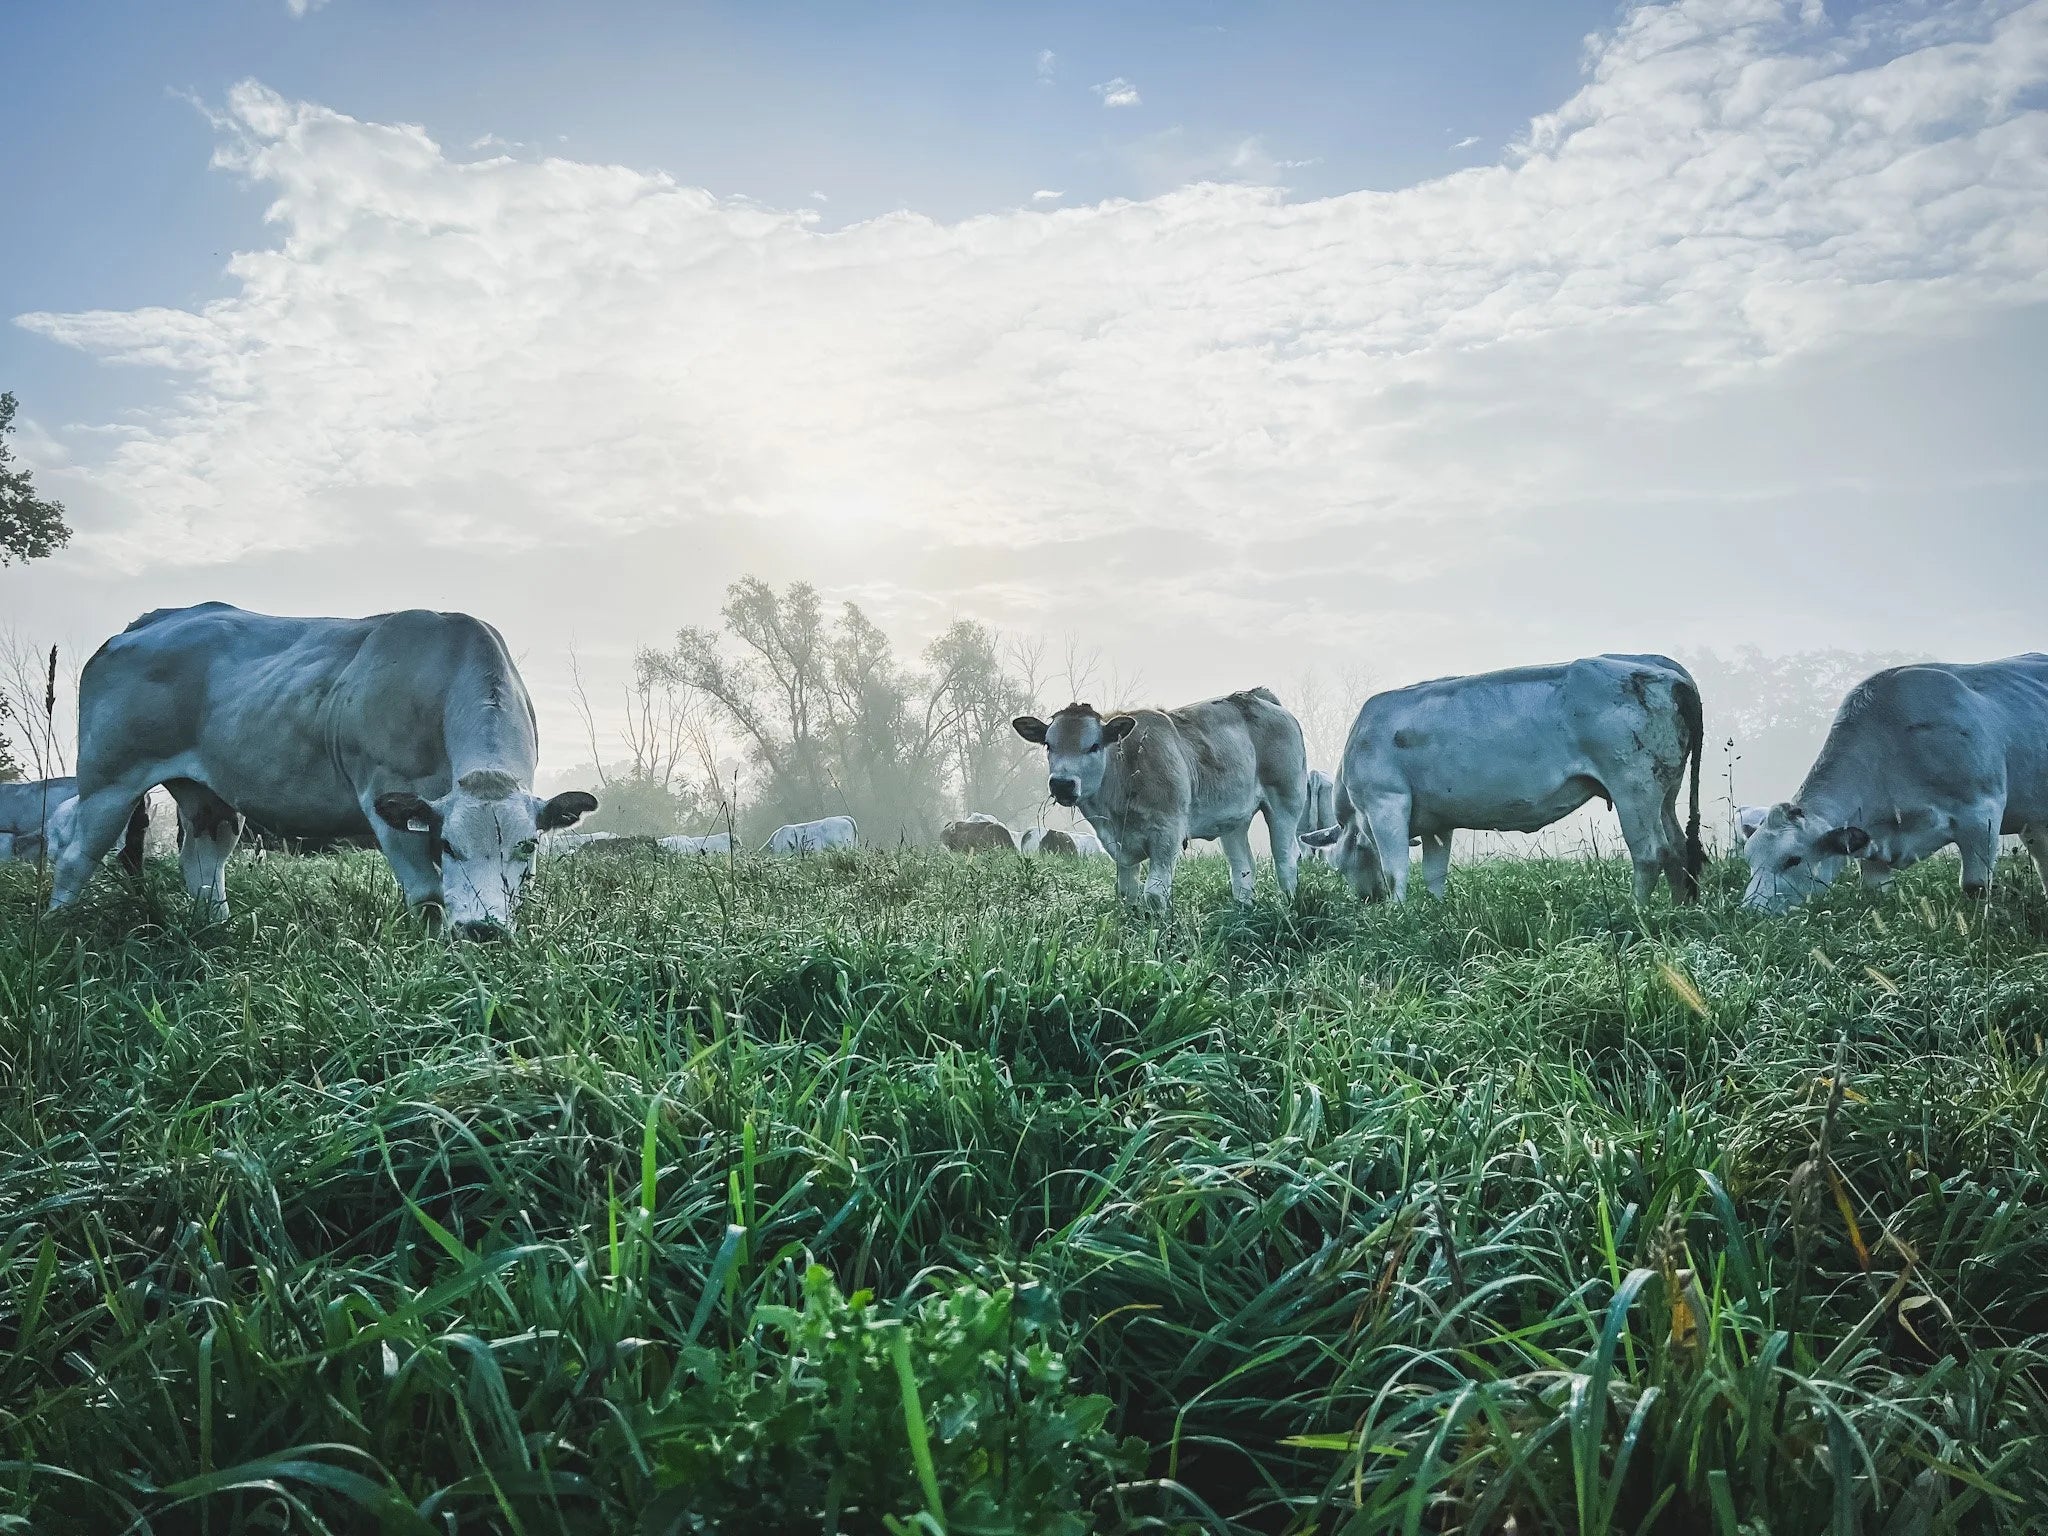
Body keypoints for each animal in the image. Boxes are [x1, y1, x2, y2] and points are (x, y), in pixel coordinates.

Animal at [44, 603, 597, 938]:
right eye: (447, 844)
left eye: (528, 847)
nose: (483, 929)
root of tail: (151, 620)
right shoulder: (385, 797)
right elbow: (429, 894)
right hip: (109, 779)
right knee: (75, 854)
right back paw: (53, 932)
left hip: (207, 795)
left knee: (201, 862)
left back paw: (217, 931)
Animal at [1012, 688, 1307, 908]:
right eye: (1048, 744)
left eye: (1094, 746)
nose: (1062, 784)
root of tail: (1257, 696)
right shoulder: (1120, 845)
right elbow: (1126, 893)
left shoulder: (1168, 831)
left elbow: (1153, 894)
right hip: (1233, 819)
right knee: (1243, 866)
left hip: (1286, 801)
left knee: (1285, 858)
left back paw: (1288, 905)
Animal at [1301, 655, 1704, 904]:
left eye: (1338, 866)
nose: (1367, 900)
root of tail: (1665, 669)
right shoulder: (1437, 823)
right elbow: (1434, 873)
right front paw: (1432, 912)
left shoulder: (1386, 802)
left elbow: (1395, 870)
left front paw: (1398, 914)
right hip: (1665, 789)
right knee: (1678, 847)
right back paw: (1677, 909)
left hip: (1633, 786)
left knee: (1651, 852)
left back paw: (1636, 912)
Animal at [1741, 655, 2048, 913]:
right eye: (1749, 859)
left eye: (1793, 859)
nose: (1751, 910)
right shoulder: (1873, 843)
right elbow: (1877, 893)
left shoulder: (1982, 815)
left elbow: (1976, 887)